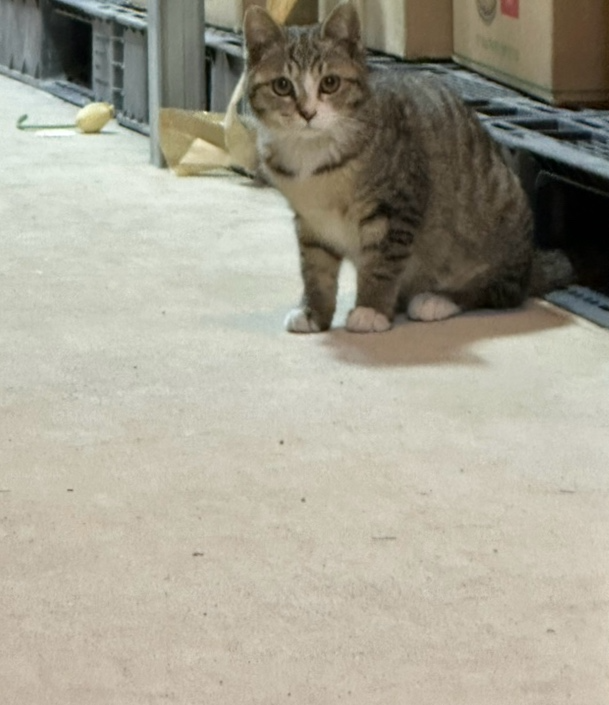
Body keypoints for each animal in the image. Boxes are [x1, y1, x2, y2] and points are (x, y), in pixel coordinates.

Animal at [243, 1, 572, 333]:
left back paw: (439, 299)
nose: (308, 113)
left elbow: (382, 263)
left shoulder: (396, 205)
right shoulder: (311, 221)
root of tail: (530, 263)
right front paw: (314, 311)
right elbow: (315, 268)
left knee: (503, 291)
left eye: (330, 83)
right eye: (282, 85)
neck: (313, 153)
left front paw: (371, 309)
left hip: (499, 225)